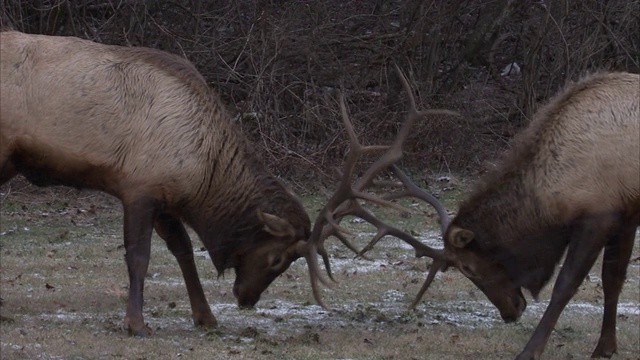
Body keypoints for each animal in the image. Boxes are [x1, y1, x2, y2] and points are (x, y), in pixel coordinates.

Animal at [0, 31, 312, 338]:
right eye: (277, 259)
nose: (248, 299)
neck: (203, 181)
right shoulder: (139, 189)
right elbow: (139, 257)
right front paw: (136, 323)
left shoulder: (165, 198)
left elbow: (184, 249)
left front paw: (205, 317)